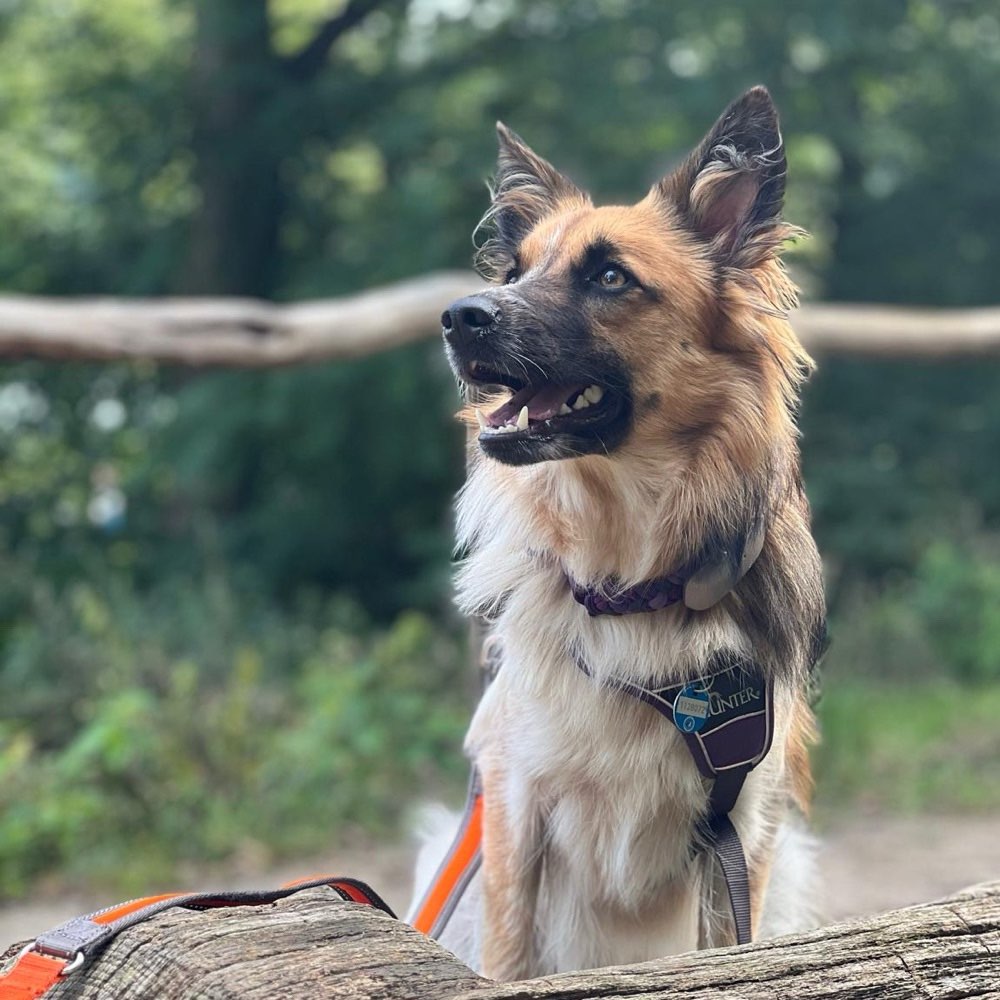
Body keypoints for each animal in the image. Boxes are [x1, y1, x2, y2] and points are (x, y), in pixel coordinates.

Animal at [408, 88, 828, 984]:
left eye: (609, 276)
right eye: (515, 272)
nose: (458, 317)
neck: (627, 585)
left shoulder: (743, 831)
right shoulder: (516, 805)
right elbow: (510, 955)